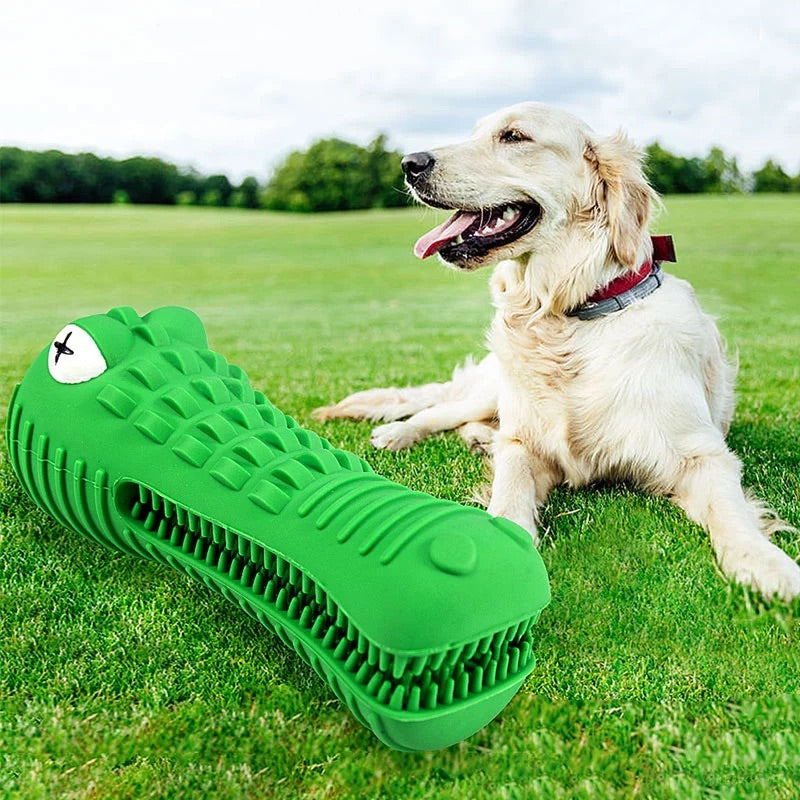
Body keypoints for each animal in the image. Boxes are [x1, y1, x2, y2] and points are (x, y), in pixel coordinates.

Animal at [314, 101, 800, 600]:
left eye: (513, 136)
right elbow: (509, 490)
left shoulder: (700, 454)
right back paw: (401, 433)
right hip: (494, 387)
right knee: (440, 411)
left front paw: (766, 564)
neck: (568, 317)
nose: (409, 163)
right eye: (475, 132)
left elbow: (731, 511)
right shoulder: (525, 444)